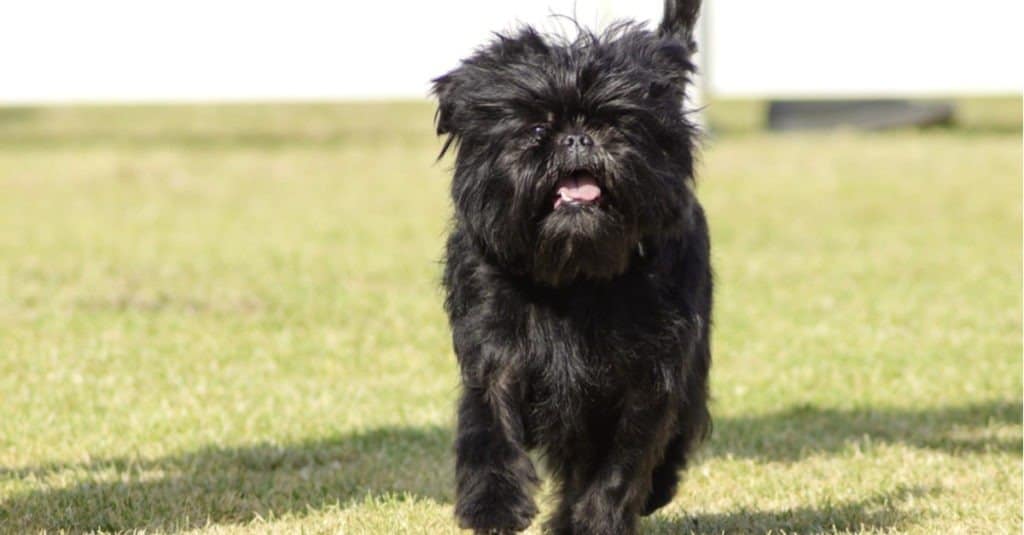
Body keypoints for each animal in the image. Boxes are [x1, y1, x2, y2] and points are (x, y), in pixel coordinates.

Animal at [432, 2, 712, 528]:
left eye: (617, 123)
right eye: (537, 129)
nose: (577, 138)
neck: (575, 279)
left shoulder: (650, 373)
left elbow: (623, 464)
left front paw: (596, 521)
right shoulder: (493, 351)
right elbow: (488, 429)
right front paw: (493, 505)